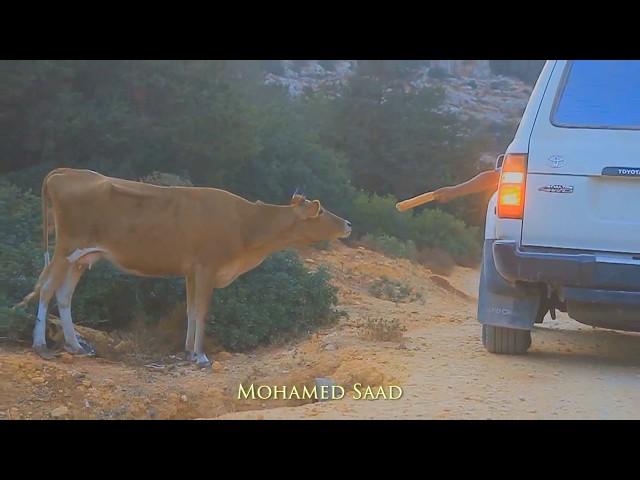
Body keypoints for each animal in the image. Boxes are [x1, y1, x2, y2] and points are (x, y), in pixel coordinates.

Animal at [20, 169, 350, 368]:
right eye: (321, 209)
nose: (347, 223)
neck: (246, 226)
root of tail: (64, 172)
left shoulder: (191, 271)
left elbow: (191, 310)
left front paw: (190, 351)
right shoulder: (206, 266)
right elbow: (202, 311)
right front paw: (201, 356)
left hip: (81, 257)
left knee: (64, 295)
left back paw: (76, 346)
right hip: (66, 247)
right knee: (47, 289)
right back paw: (40, 345)